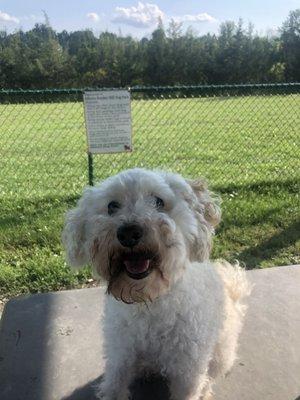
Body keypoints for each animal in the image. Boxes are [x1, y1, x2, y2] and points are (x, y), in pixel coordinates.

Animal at [62, 169, 250, 400]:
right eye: (112, 206)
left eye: (159, 201)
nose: (128, 232)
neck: (149, 299)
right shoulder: (120, 355)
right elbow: (115, 385)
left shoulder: (188, 369)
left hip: (221, 352)